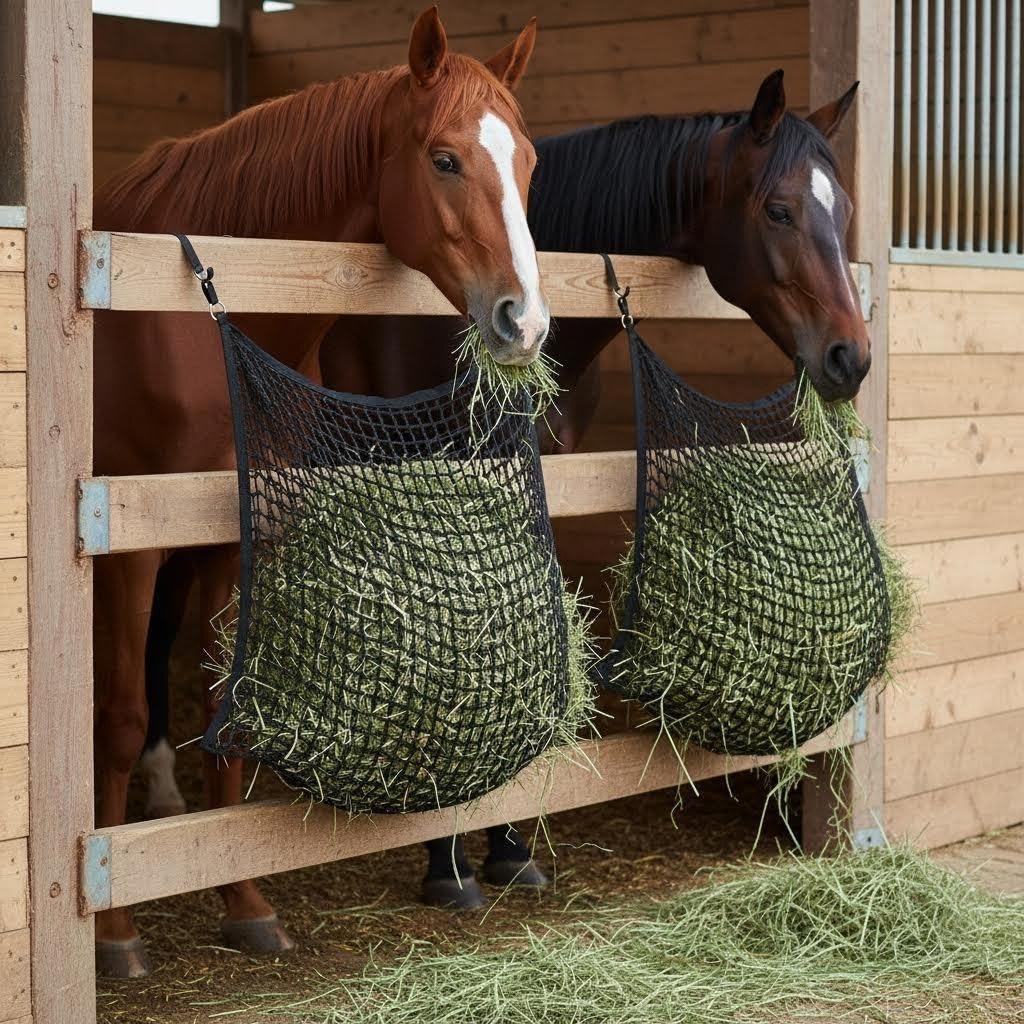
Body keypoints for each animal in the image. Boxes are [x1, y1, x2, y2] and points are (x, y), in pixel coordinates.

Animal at [93, 6, 545, 978]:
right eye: (445, 159)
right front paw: (114, 932)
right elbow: (118, 712)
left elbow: (223, 702)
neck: (200, 320)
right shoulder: (129, 544)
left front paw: (244, 902)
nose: (525, 323)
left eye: (527, 161)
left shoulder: (232, 529)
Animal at [139, 70, 867, 909]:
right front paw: (447, 859)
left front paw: (510, 844)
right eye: (779, 209)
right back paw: (160, 781)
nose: (853, 356)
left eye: (844, 211)